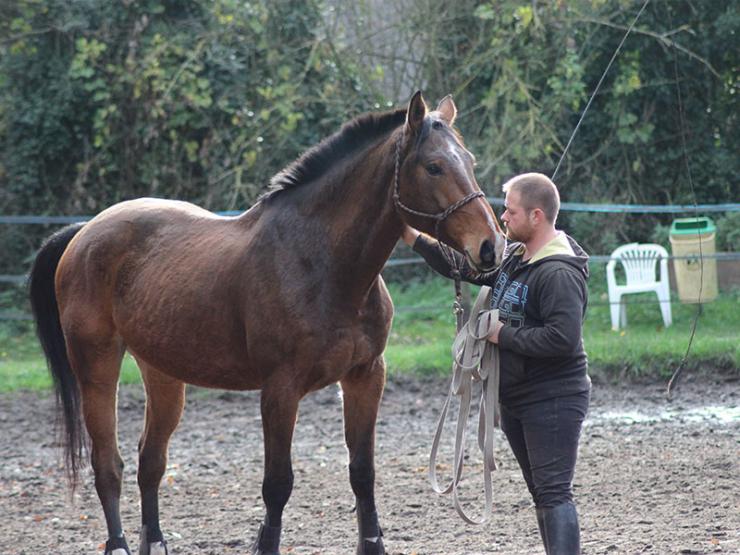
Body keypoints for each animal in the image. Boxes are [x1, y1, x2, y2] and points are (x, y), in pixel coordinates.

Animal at [28, 92, 502, 555]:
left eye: (470, 160)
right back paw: (119, 544)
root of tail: (84, 232)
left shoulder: (366, 376)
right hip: (97, 367)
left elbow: (362, 471)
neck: (322, 263)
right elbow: (277, 483)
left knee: (151, 462)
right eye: (434, 166)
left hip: (162, 373)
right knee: (108, 465)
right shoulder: (280, 388)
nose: (491, 247)